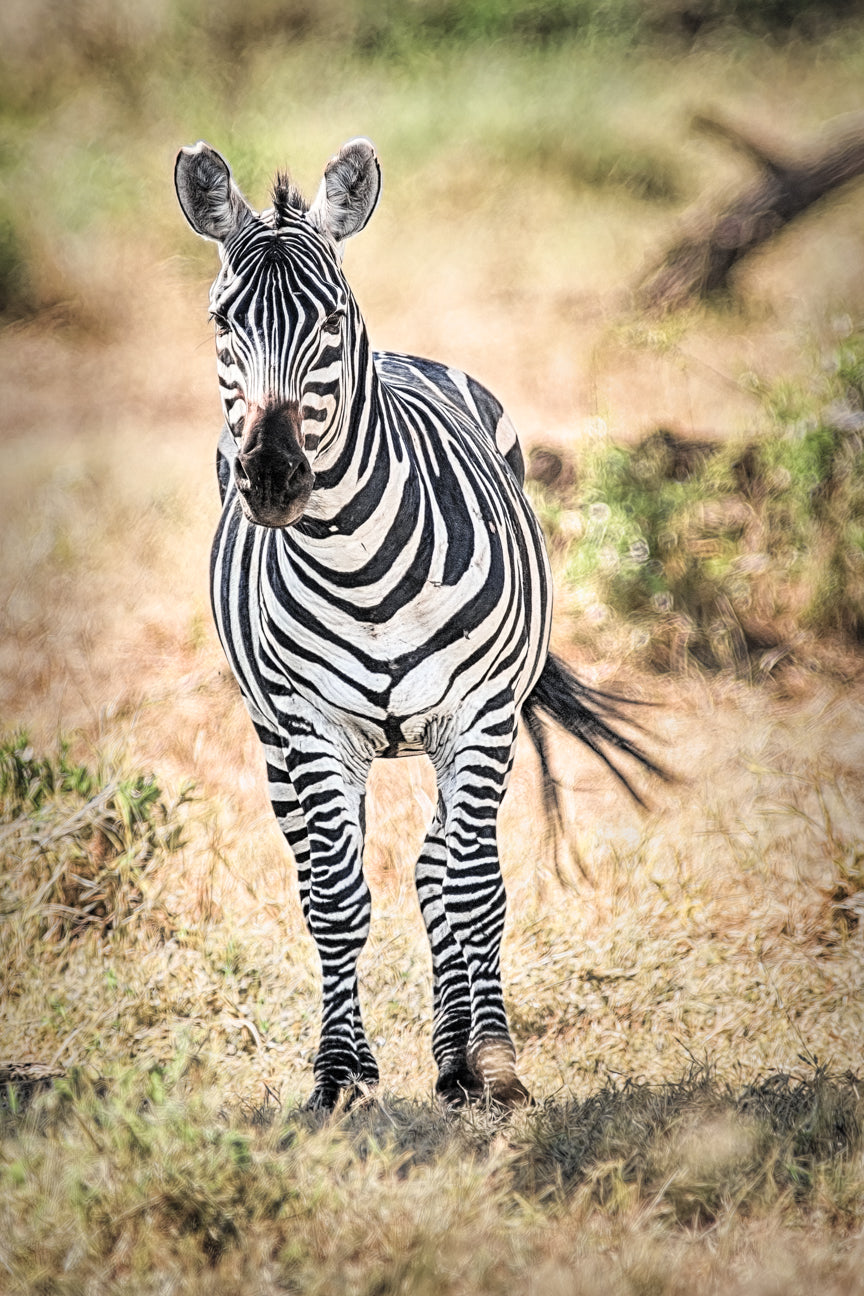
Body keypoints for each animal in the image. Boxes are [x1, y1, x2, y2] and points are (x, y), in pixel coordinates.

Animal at [175, 138, 663, 1111]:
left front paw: (496, 1063)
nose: (273, 477)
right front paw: (337, 1074)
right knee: (330, 872)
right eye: (221, 322)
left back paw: (459, 1057)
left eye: (331, 321)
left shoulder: (479, 717)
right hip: (275, 734)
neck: (358, 565)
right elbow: (336, 899)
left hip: (473, 731)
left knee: (446, 869)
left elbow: (475, 887)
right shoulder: (312, 728)